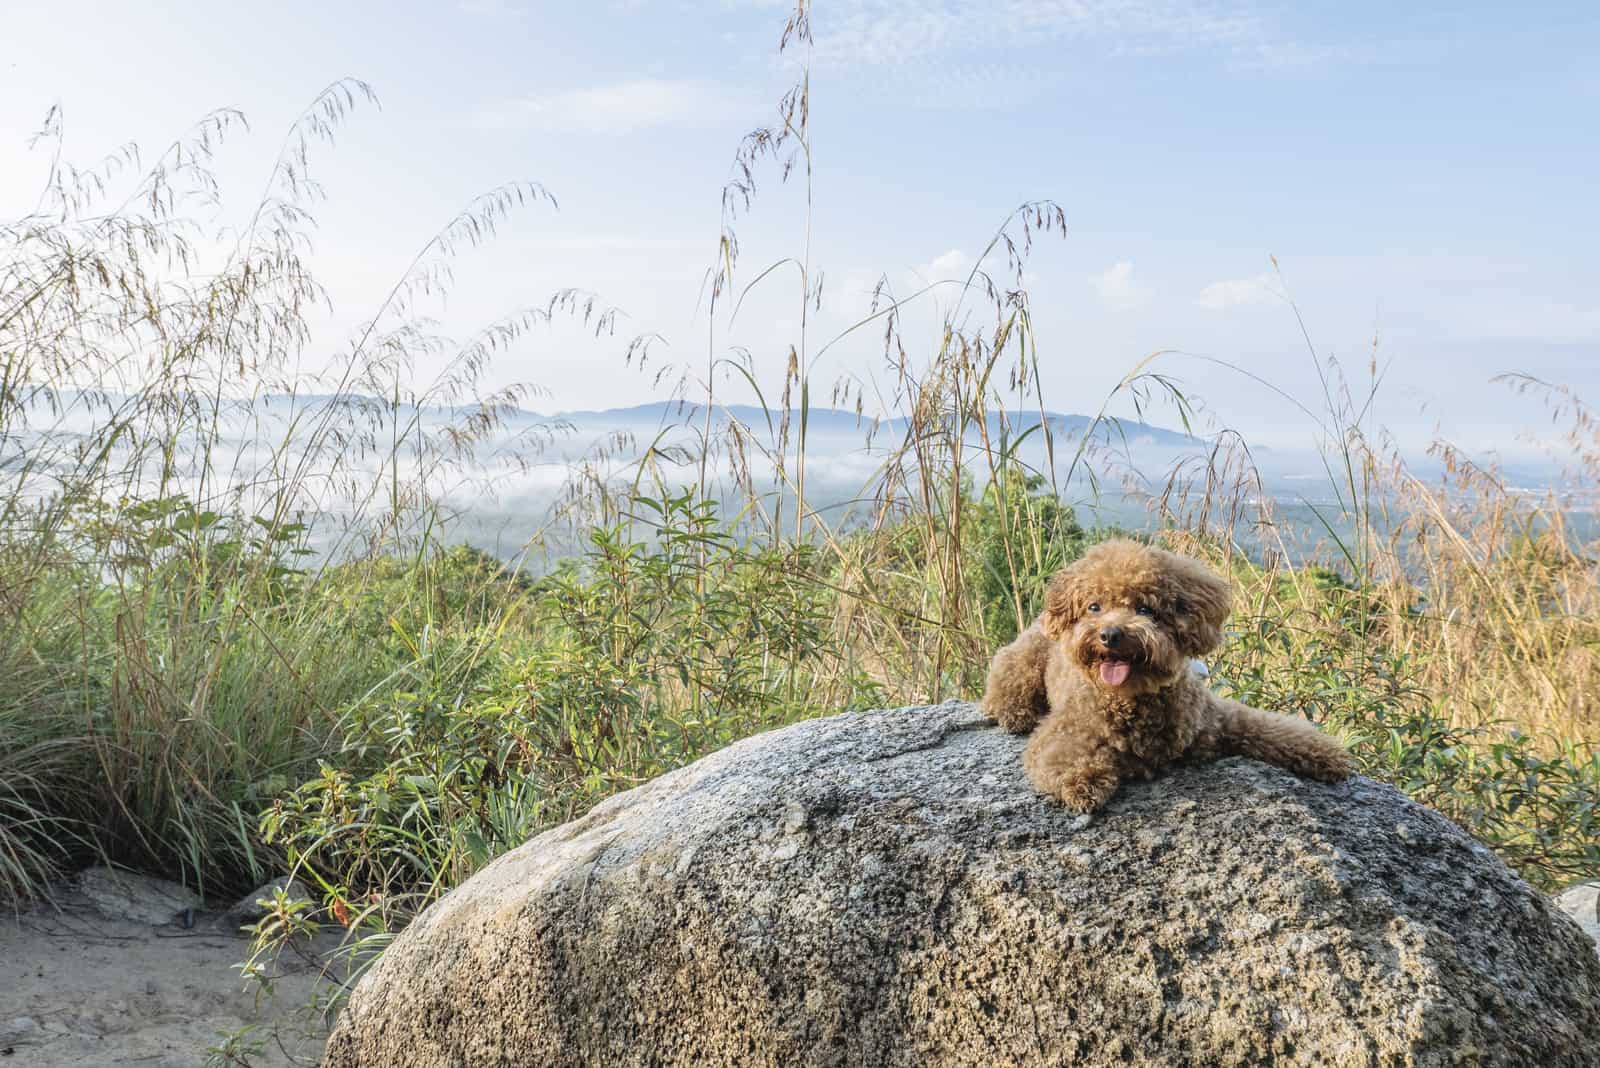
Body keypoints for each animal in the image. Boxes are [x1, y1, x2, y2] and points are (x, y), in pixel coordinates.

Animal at [985, 537, 1350, 812]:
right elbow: (1060, 755)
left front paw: (1325, 752)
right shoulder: (1066, 728)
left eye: (1145, 608)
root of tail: (1043, 615)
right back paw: (1015, 713)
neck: (1134, 699)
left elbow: (1272, 728)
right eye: (1094, 607)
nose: (1109, 635)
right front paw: (1083, 782)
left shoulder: (1218, 718)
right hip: (1024, 660)